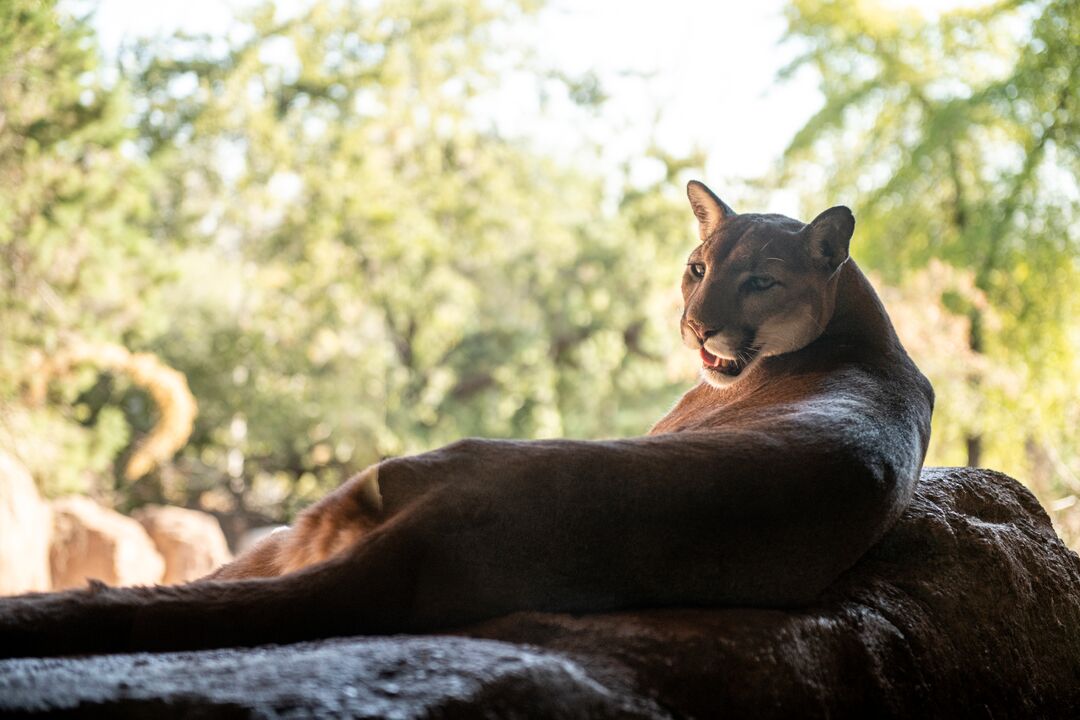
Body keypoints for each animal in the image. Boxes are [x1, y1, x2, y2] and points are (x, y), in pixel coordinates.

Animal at [0, 181, 933, 660]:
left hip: (356, 491)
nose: (696, 328)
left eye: (760, 282)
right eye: (697, 268)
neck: (867, 333)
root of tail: (443, 531)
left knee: (242, 569)